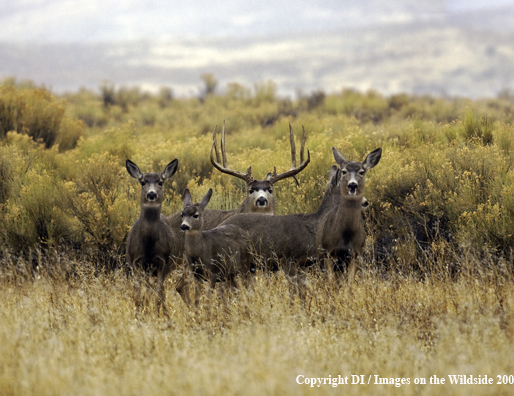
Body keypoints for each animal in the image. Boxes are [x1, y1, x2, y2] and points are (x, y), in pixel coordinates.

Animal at [125, 158, 177, 316]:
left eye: (160, 182)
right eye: (142, 182)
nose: (152, 194)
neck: (148, 246)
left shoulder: (162, 261)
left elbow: (158, 291)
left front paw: (156, 312)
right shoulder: (136, 261)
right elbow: (140, 292)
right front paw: (141, 311)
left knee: (161, 290)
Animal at [314, 147, 382, 284]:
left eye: (362, 172)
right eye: (344, 171)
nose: (352, 184)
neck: (346, 234)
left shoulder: (356, 254)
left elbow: (350, 284)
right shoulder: (329, 253)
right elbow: (332, 283)